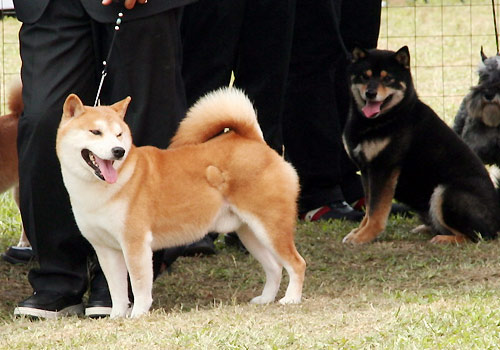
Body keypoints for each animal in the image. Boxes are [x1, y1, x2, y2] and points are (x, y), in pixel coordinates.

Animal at [54, 87, 304, 318]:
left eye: (118, 134)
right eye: (95, 132)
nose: (118, 151)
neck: (102, 189)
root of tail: (254, 140)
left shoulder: (135, 244)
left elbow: (139, 285)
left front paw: (138, 315)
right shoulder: (105, 248)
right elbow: (117, 291)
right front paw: (116, 317)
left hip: (271, 228)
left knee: (296, 264)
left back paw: (291, 299)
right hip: (249, 232)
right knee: (275, 267)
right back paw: (266, 299)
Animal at [342, 45, 500, 245]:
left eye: (388, 78)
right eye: (364, 76)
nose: (371, 93)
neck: (389, 117)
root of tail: (497, 221)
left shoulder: (384, 169)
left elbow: (376, 211)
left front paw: (365, 235)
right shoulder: (366, 171)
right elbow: (369, 208)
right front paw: (359, 231)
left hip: (445, 192)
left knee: (479, 235)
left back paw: (444, 238)